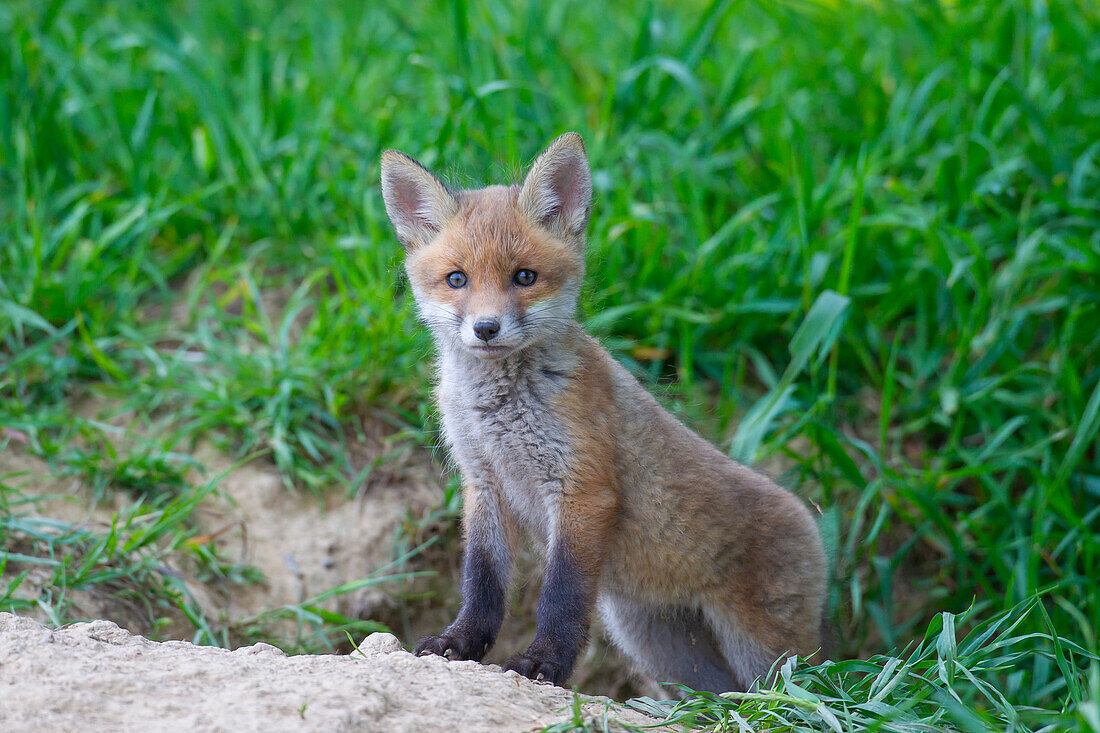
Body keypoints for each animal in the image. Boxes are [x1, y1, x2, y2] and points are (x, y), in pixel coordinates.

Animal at [378, 132, 827, 691]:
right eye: (456, 279)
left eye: (524, 277)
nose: (485, 328)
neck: (499, 412)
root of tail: (814, 527)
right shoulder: (484, 484)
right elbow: (481, 584)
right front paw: (458, 644)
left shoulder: (583, 489)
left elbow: (562, 597)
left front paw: (544, 665)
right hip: (661, 645)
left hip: (760, 653)